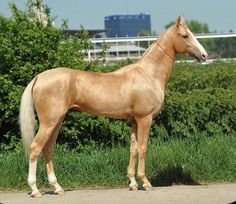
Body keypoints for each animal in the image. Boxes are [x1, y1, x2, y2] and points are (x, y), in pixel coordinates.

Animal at [19, 16, 206, 198]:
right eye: (185, 36)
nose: (204, 55)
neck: (149, 75)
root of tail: (39, 77)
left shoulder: (134, 121)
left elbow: (133, 149)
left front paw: (132, 183)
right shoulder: (145, 119)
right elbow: (143, 148)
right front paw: (145, 182)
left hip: (56, 122)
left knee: (48, 149)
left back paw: (57, 187)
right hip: (49, 122)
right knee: (35, 148)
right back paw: (35, 190)